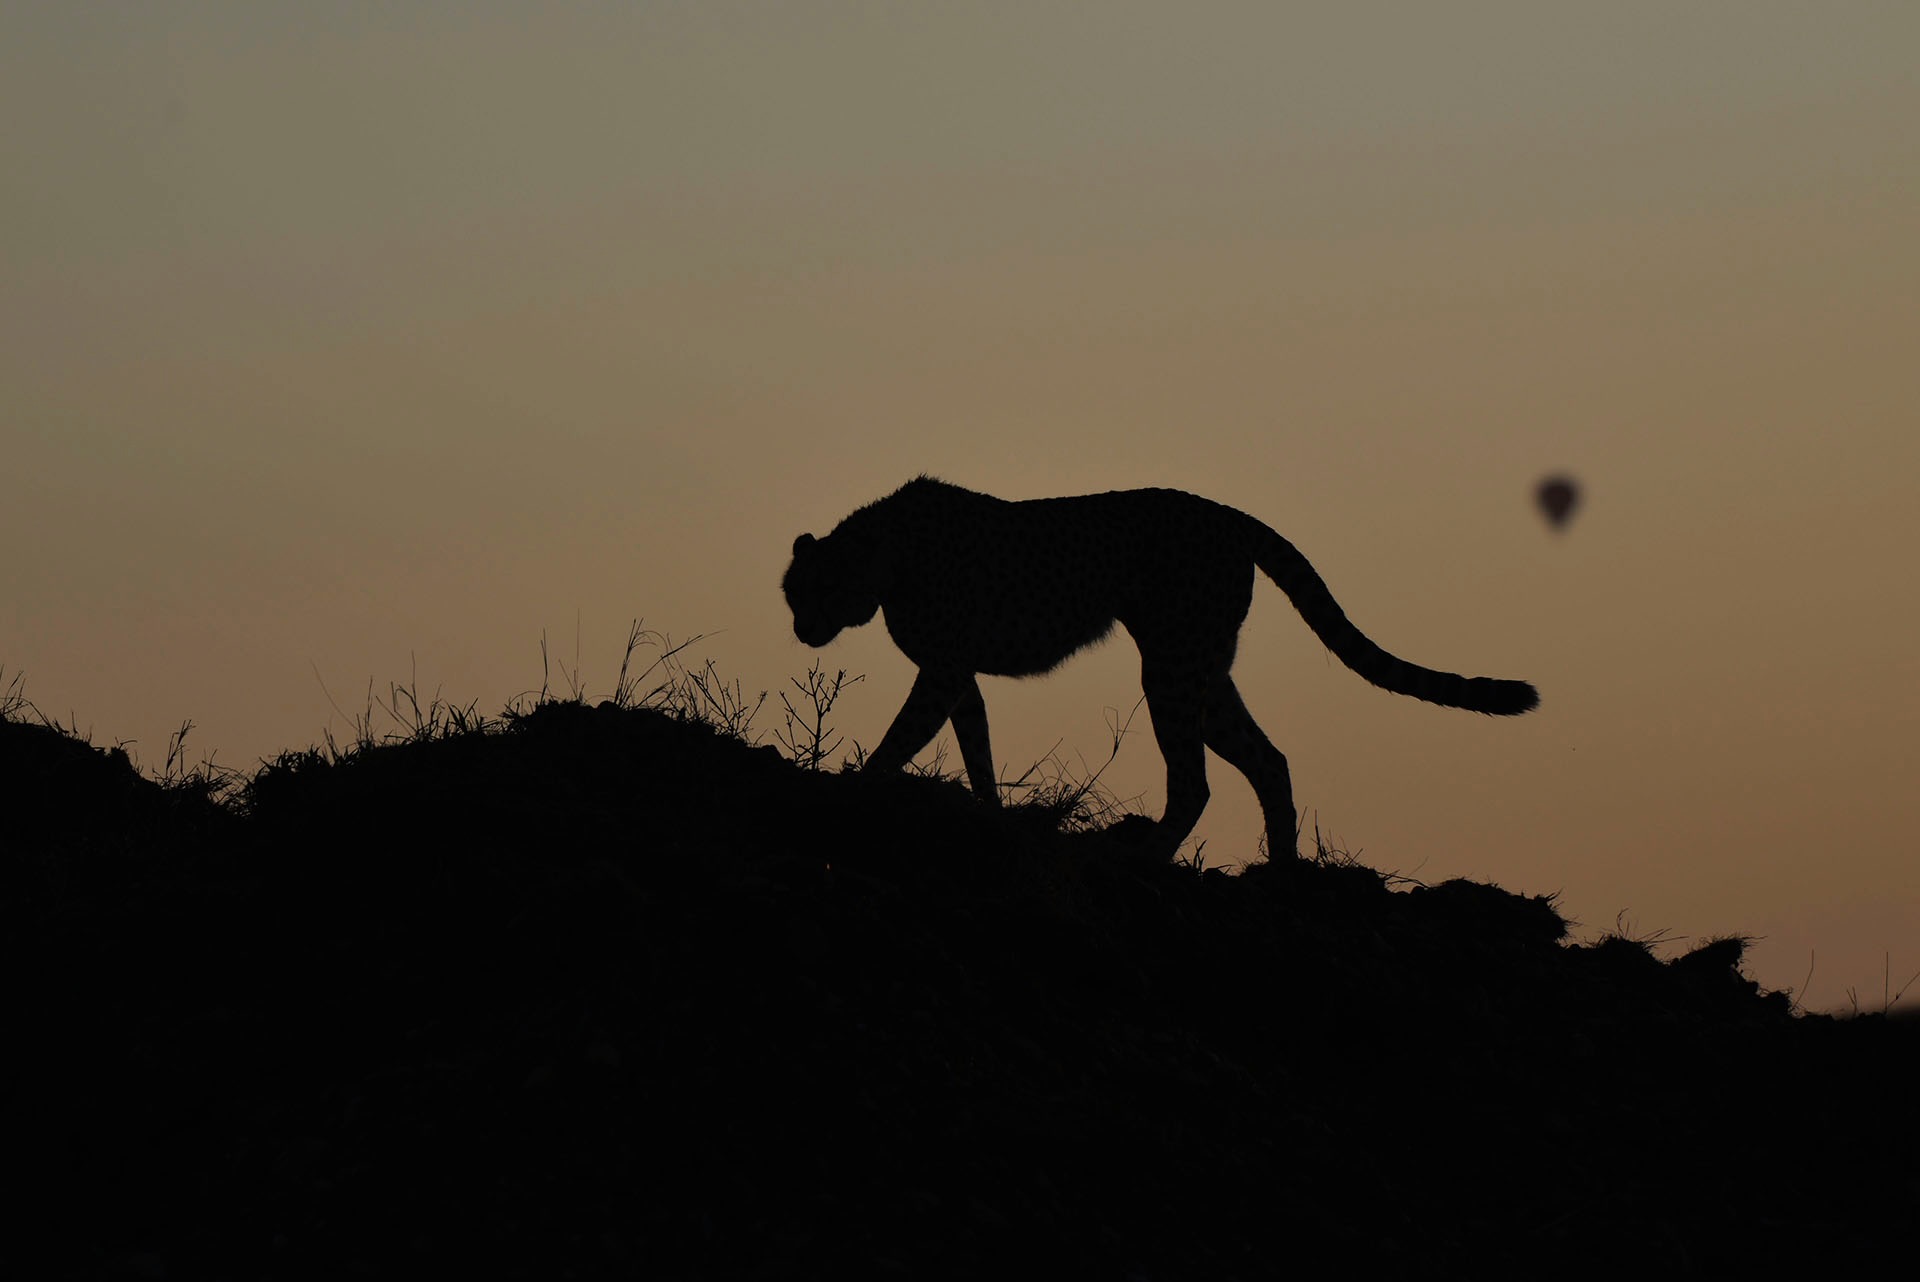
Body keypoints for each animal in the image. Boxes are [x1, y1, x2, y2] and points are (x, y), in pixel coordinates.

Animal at [782, 476, 1537, 857]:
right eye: (791, 593)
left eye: (812, 590)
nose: (800, 629)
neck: (883, 551)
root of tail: (1228, 512)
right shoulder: (957, 675)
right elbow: (977, 747)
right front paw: (990, 813)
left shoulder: (941, 670)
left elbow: (901, 738)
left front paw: (854, 788)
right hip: (1204, 670)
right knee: (1268, 761)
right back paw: (1281, 874)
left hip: (1171, 668)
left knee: (1196, 780)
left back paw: (1150, 851)